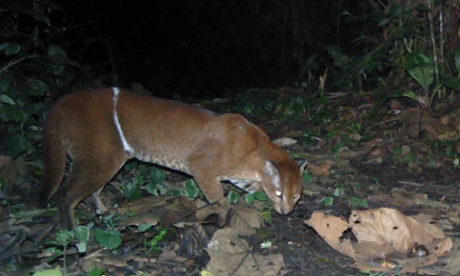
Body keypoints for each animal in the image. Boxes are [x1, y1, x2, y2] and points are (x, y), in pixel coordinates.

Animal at [37, 88, 308, 229]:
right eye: (280, 194)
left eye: (296, 195)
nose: (286, 210)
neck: (256, 147)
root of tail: (63, 100)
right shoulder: (201, 167)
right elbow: (218, 198)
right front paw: (225, 216)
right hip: (99, 157)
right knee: (66, 195)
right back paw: (72, 234)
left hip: (108, 160)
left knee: (90, 193)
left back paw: (102, 212)